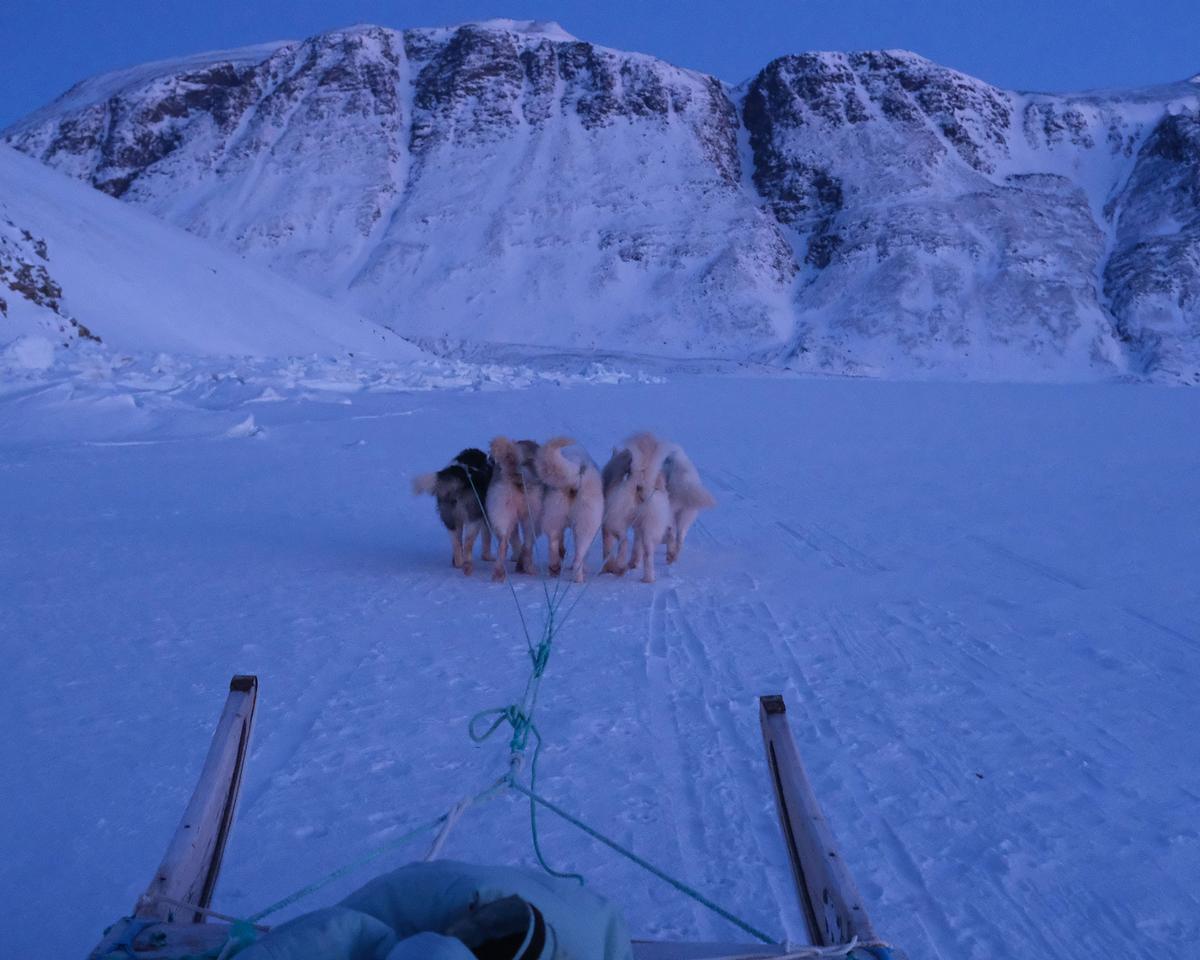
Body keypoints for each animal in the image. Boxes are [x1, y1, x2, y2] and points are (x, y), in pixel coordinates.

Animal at [537, 436, 604, 585]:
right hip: (588, 525)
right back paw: (578, 579)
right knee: (579, 557)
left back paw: (555, 567)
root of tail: (576, 476)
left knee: (553, 542)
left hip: (553, 516)